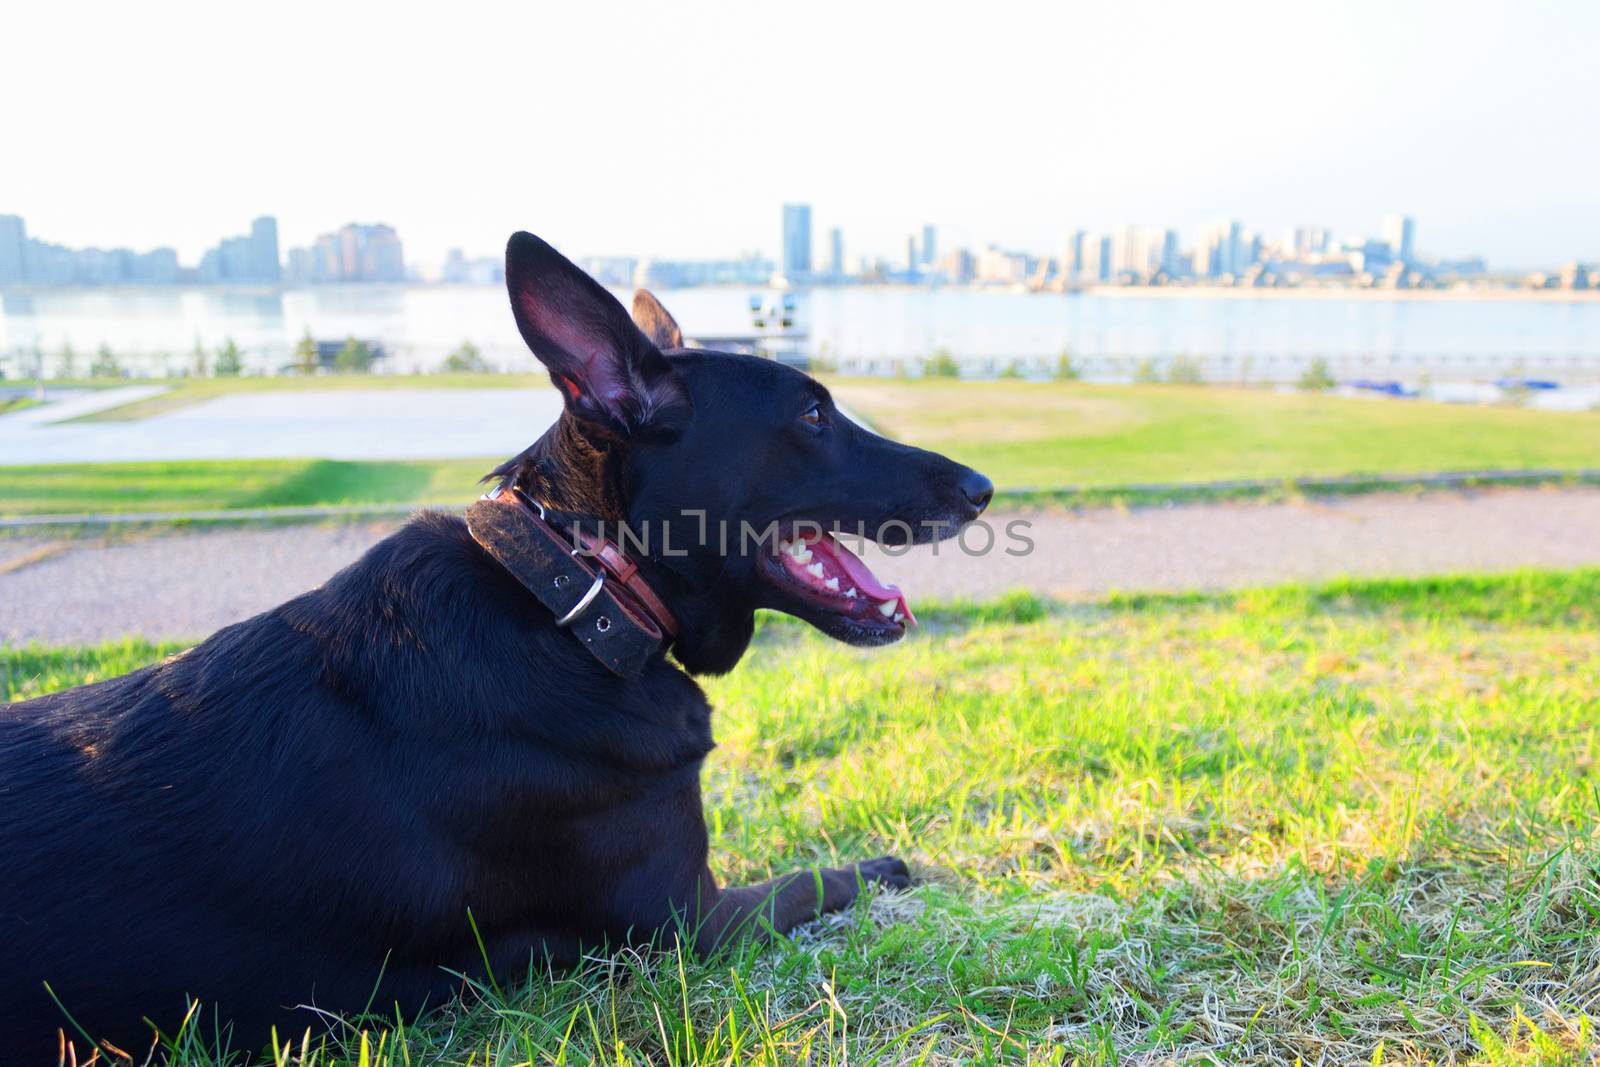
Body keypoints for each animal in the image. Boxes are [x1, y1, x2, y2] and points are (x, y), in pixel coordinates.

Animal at [0, 233, 992, 1062]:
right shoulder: (693, 925)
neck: (577, 594)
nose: (982, 486)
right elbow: (817, 879)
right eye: (815, 414)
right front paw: (883, 864)